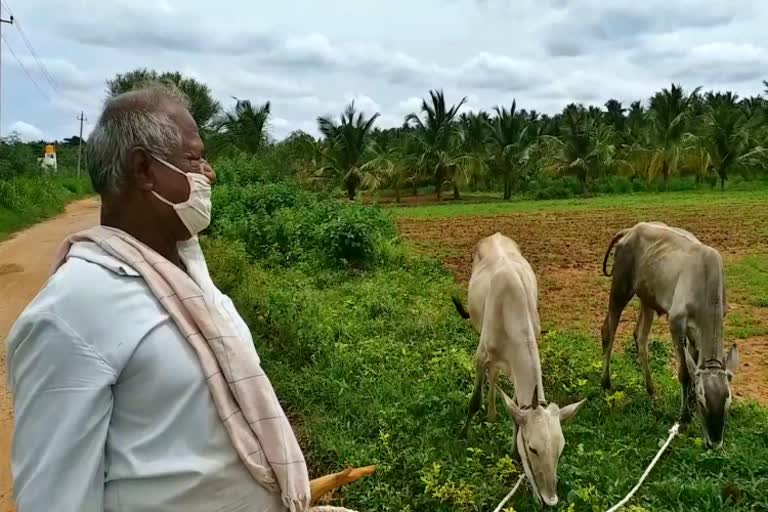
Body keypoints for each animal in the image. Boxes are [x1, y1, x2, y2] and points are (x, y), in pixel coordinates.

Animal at [452, 234, 584, 506]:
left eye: (561, 449)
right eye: (533, 448)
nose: (550, 499)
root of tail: (495, 236)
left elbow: (514, 409)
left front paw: (512, 449)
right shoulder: (481, 355)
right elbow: (474, 400)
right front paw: (463, 433)